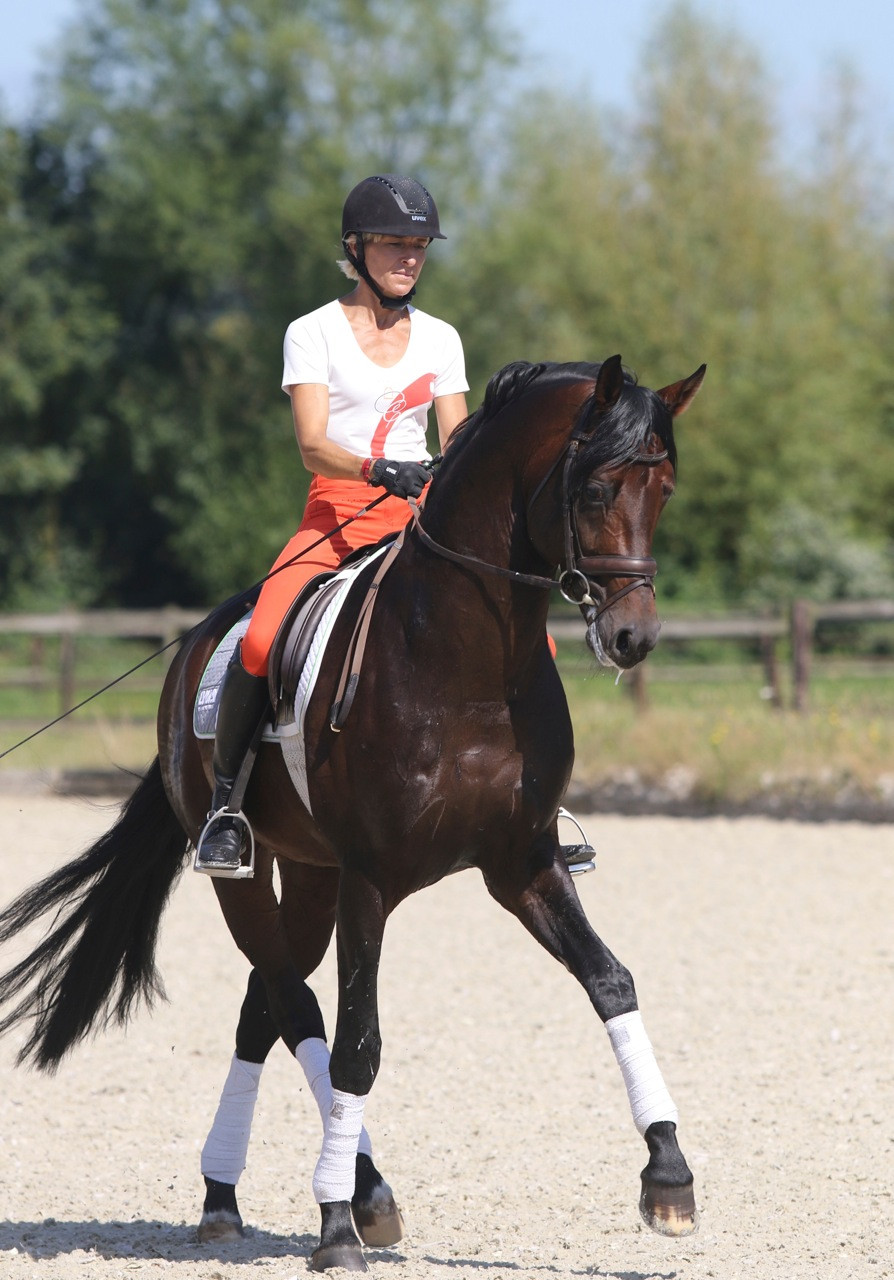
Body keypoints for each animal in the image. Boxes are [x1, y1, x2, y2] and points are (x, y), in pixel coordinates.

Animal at [0, 353, 705, 1273]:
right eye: (592, 489)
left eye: (664, 489)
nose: (633, 638)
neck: (467, 662)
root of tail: (194, 649)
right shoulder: (371, 880)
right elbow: (358, 1044)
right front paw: (334, 1227)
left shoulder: (524, 865)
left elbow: (609, 980)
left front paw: (668, 1176)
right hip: (247, 873)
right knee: (295, 1004)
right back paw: (354, 1196)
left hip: (308, 874)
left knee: (265, 1002)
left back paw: (229, 1195)